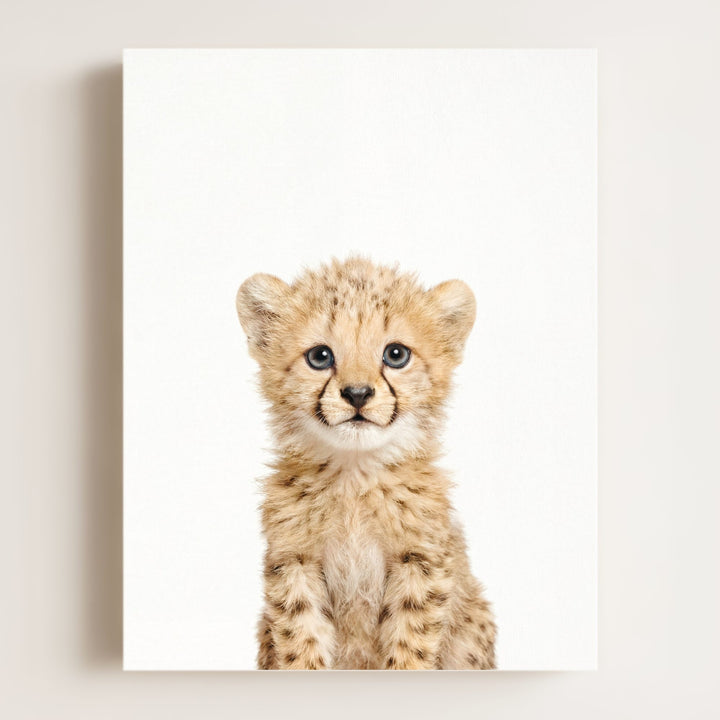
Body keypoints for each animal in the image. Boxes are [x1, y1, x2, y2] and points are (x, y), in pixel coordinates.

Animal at [236, 256, 496, 669]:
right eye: (320, 357)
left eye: (396, 355)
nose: (357, 394)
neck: (354, 476)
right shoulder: (295, 562)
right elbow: (300, 640)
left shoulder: (420, 562)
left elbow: (410, 644)